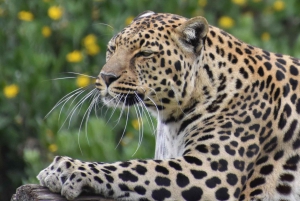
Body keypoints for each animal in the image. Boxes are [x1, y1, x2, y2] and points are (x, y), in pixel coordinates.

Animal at [37, 11, 300, 201]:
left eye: (144, 53)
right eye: (112, 48)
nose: (106, 77)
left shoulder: (210, 172)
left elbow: (135, 168)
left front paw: (66, 169)